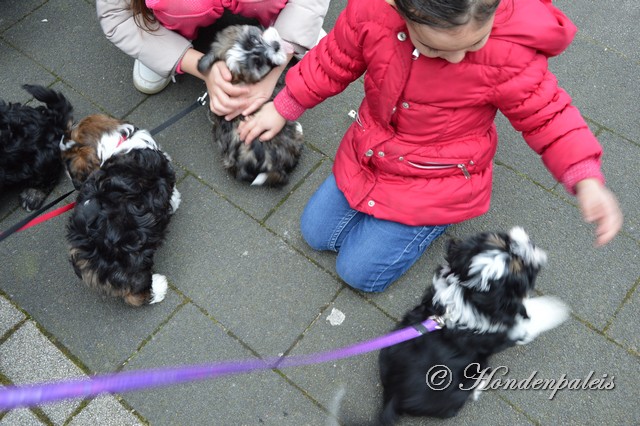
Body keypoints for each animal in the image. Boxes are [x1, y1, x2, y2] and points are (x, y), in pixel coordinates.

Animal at [59, 113, 180, 306]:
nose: (73, 183)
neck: (117, 144)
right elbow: (172, 195)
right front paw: (175, 203)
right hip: (134, 258)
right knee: (135, 292)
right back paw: (158, 288)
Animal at [378, 226, 568, 422]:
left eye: (506, 241)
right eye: (523, 268)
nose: (529, 243)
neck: (467, 293)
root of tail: (395, 396)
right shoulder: (512, 328)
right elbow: (535, 314)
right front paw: (557, 308)